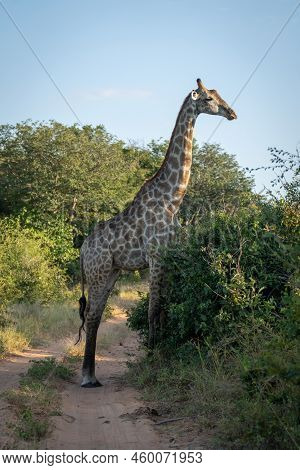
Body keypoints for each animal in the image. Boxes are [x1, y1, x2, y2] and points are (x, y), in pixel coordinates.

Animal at [78, 79, 237, 388]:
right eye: (209, 98)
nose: (232, 113)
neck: (172, 199)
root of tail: (81, 250)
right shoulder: (155, 255)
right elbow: (153, 309)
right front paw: (151, 357)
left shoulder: (169, 255)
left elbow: (163, 309)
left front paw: (160, 352)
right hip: (97, 270)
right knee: (90, 314)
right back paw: (87, 377)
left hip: (111, 272)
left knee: (96, 314)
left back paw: (93, 375)